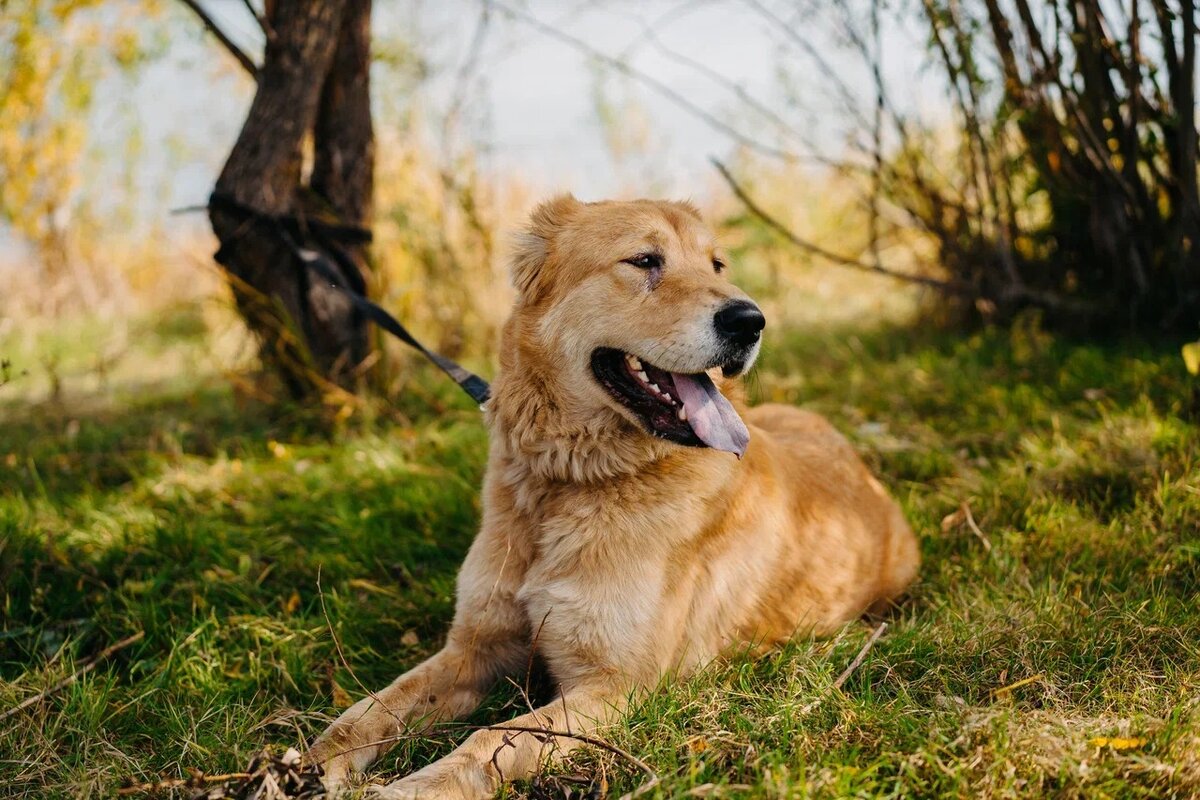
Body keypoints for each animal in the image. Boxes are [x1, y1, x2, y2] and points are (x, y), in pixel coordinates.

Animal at [307, 196, 916, 796]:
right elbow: (368, 711)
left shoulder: (614, 687)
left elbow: (490, 741)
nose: (751, 321)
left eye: (717, 266)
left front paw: (417, 786)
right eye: (645, 260)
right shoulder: (475, 648)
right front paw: (310, 766)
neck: (569, 482)